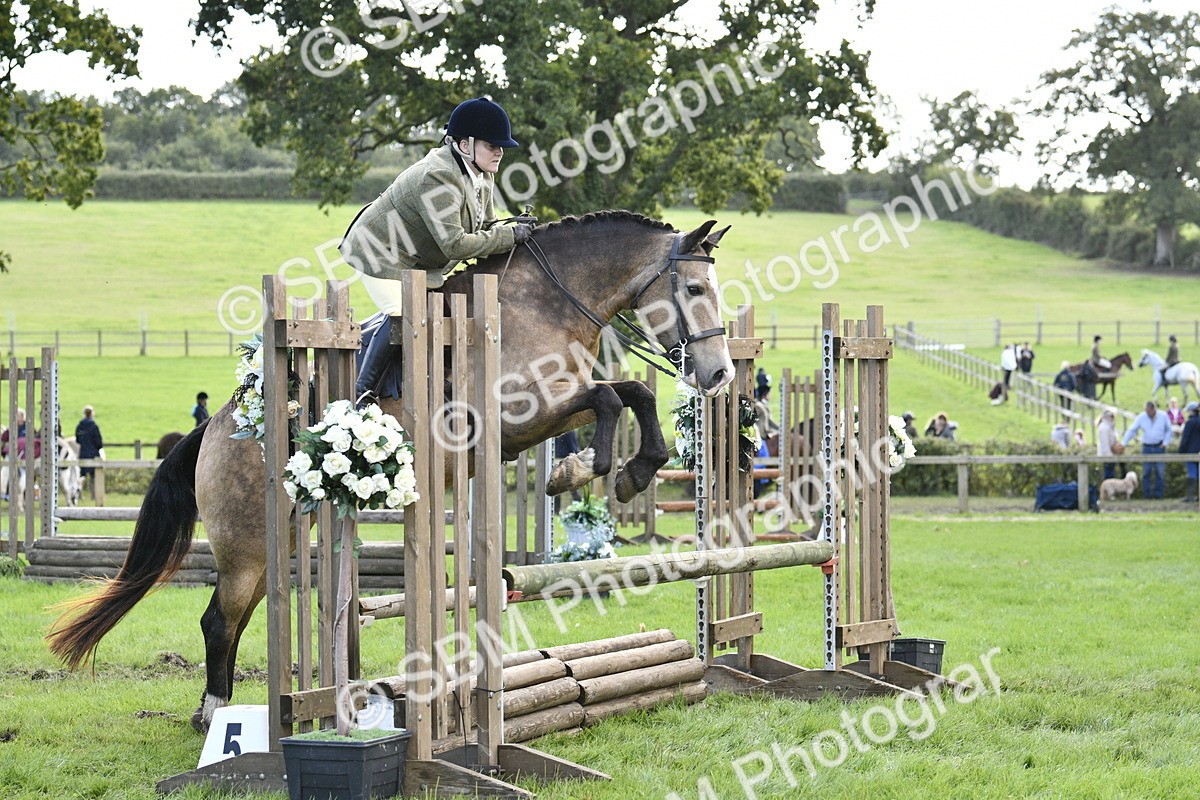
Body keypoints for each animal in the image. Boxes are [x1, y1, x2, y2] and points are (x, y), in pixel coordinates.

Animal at [46, 211, 736, 732]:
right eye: (695, 291)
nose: (720, 374)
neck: (544, 304)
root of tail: (221, 426)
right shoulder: (519, 416)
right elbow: (611, 401)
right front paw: (582, 470)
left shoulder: (544, 409)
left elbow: (629, 394)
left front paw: (633, 471)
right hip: (246, 542)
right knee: (220, 620)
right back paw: (217, 715)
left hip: (281, 541)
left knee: (239, 618)